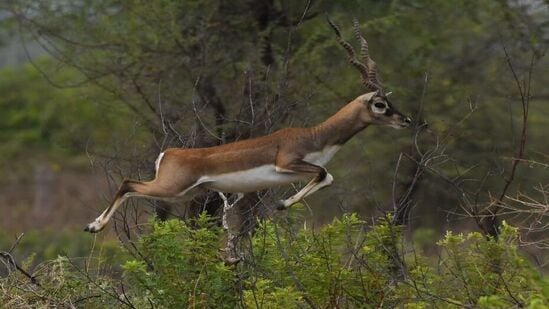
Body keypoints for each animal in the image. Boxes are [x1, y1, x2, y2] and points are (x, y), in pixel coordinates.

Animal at [84, 18, 412, 233]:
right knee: (128, 183)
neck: (315, 136)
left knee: (132, 187)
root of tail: (170, 153)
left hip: (182, 194)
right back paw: (93, 226)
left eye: (389, 101)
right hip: (171, 187)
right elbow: (322, 172)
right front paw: (282, 204)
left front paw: (282, 204)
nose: (406, 120)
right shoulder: (286, 163)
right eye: (380, 104)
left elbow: (328, 176)